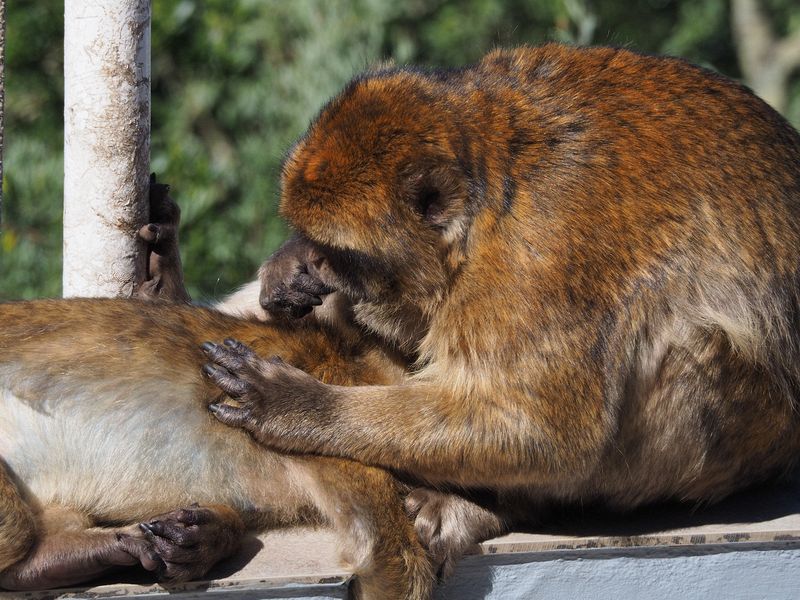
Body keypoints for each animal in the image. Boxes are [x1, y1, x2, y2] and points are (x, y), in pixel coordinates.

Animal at [198, 43, 800, 572]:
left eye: (340, 254)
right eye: (317, 242)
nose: (316, 262)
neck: (490, 197)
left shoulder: (539, 255)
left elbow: (546, 431)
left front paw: (301, 407)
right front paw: (289, 266)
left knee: (687, 345)